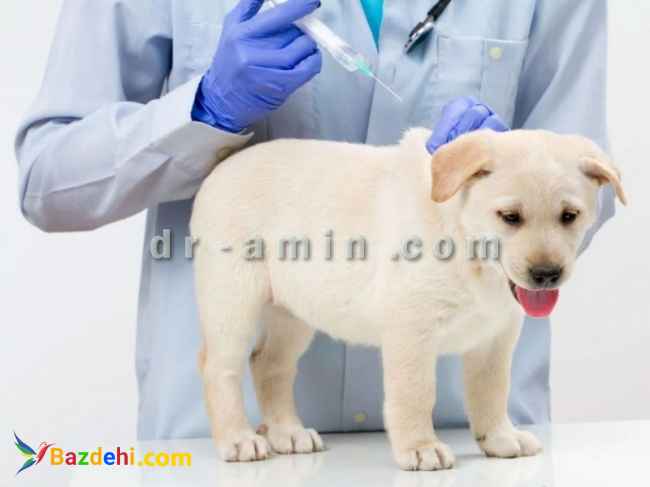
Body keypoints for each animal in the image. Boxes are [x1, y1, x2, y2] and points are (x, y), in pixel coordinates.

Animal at [190, 128, 626, 470]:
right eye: (510, 217)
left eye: (569, 216)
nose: (546, 275)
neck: (467, 250)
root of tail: (223, 167)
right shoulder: (411, 329)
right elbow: (416, 392)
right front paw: (420, 447)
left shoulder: (496, 337)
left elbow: (491, 391)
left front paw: (501, 438)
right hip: (233, 301)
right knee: (220, 368)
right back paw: (238, 439)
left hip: (292, 314)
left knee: (269, 365)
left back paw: (288, 433)